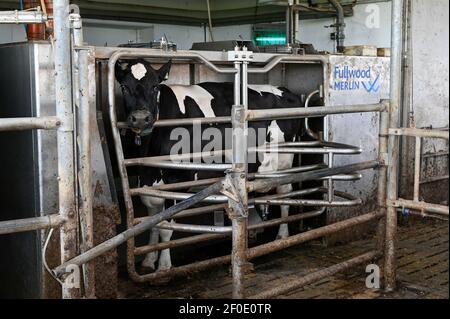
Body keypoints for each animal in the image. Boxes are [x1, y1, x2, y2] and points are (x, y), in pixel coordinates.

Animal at [116, 58, 304, 272]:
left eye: (155, 86)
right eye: (124, 87)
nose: (140, 118)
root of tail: (285, 90)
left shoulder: (177, 180)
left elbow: (167, 227)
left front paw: (163, 266)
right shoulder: (148, 182)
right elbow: (153, 223)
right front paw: (148, 260)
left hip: (285, 161)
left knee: (285, 195)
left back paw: (282, 235)